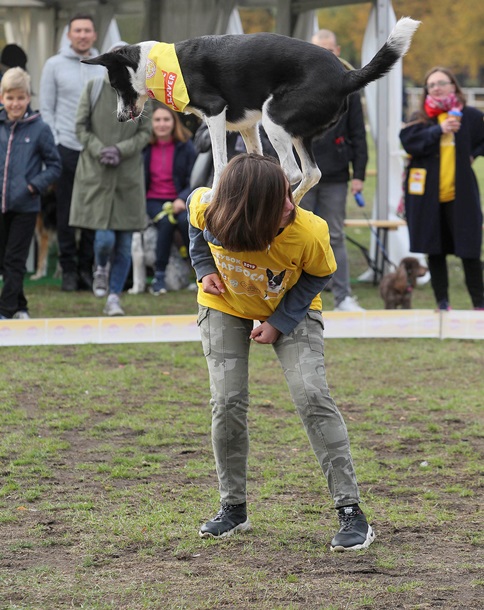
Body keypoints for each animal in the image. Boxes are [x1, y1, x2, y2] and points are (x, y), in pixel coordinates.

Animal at [83, 16, 420, 201]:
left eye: (115, 85)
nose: (119, 117)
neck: (154, 66)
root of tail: (345, 75)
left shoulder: (215, 113)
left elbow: (220, 163)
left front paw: (214, 194)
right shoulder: (246, 126)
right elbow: (252, 160)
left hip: (275, 119)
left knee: (292, 170)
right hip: (295, 133)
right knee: (312, 173)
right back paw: (292, 203)